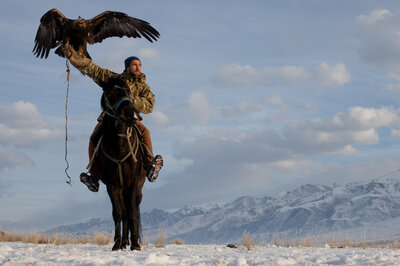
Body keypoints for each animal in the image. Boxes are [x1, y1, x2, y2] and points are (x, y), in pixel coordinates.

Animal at [95, 77, 147, 251]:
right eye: (110, 92)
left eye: (128, 92)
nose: (132, 114)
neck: (119, 146)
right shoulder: (112, 184)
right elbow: (118, 213)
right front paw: (117, 243)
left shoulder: (133, 182)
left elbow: (132, 212)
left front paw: (136, 244)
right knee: (123, 213)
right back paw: (124, 241)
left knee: (132, 209)